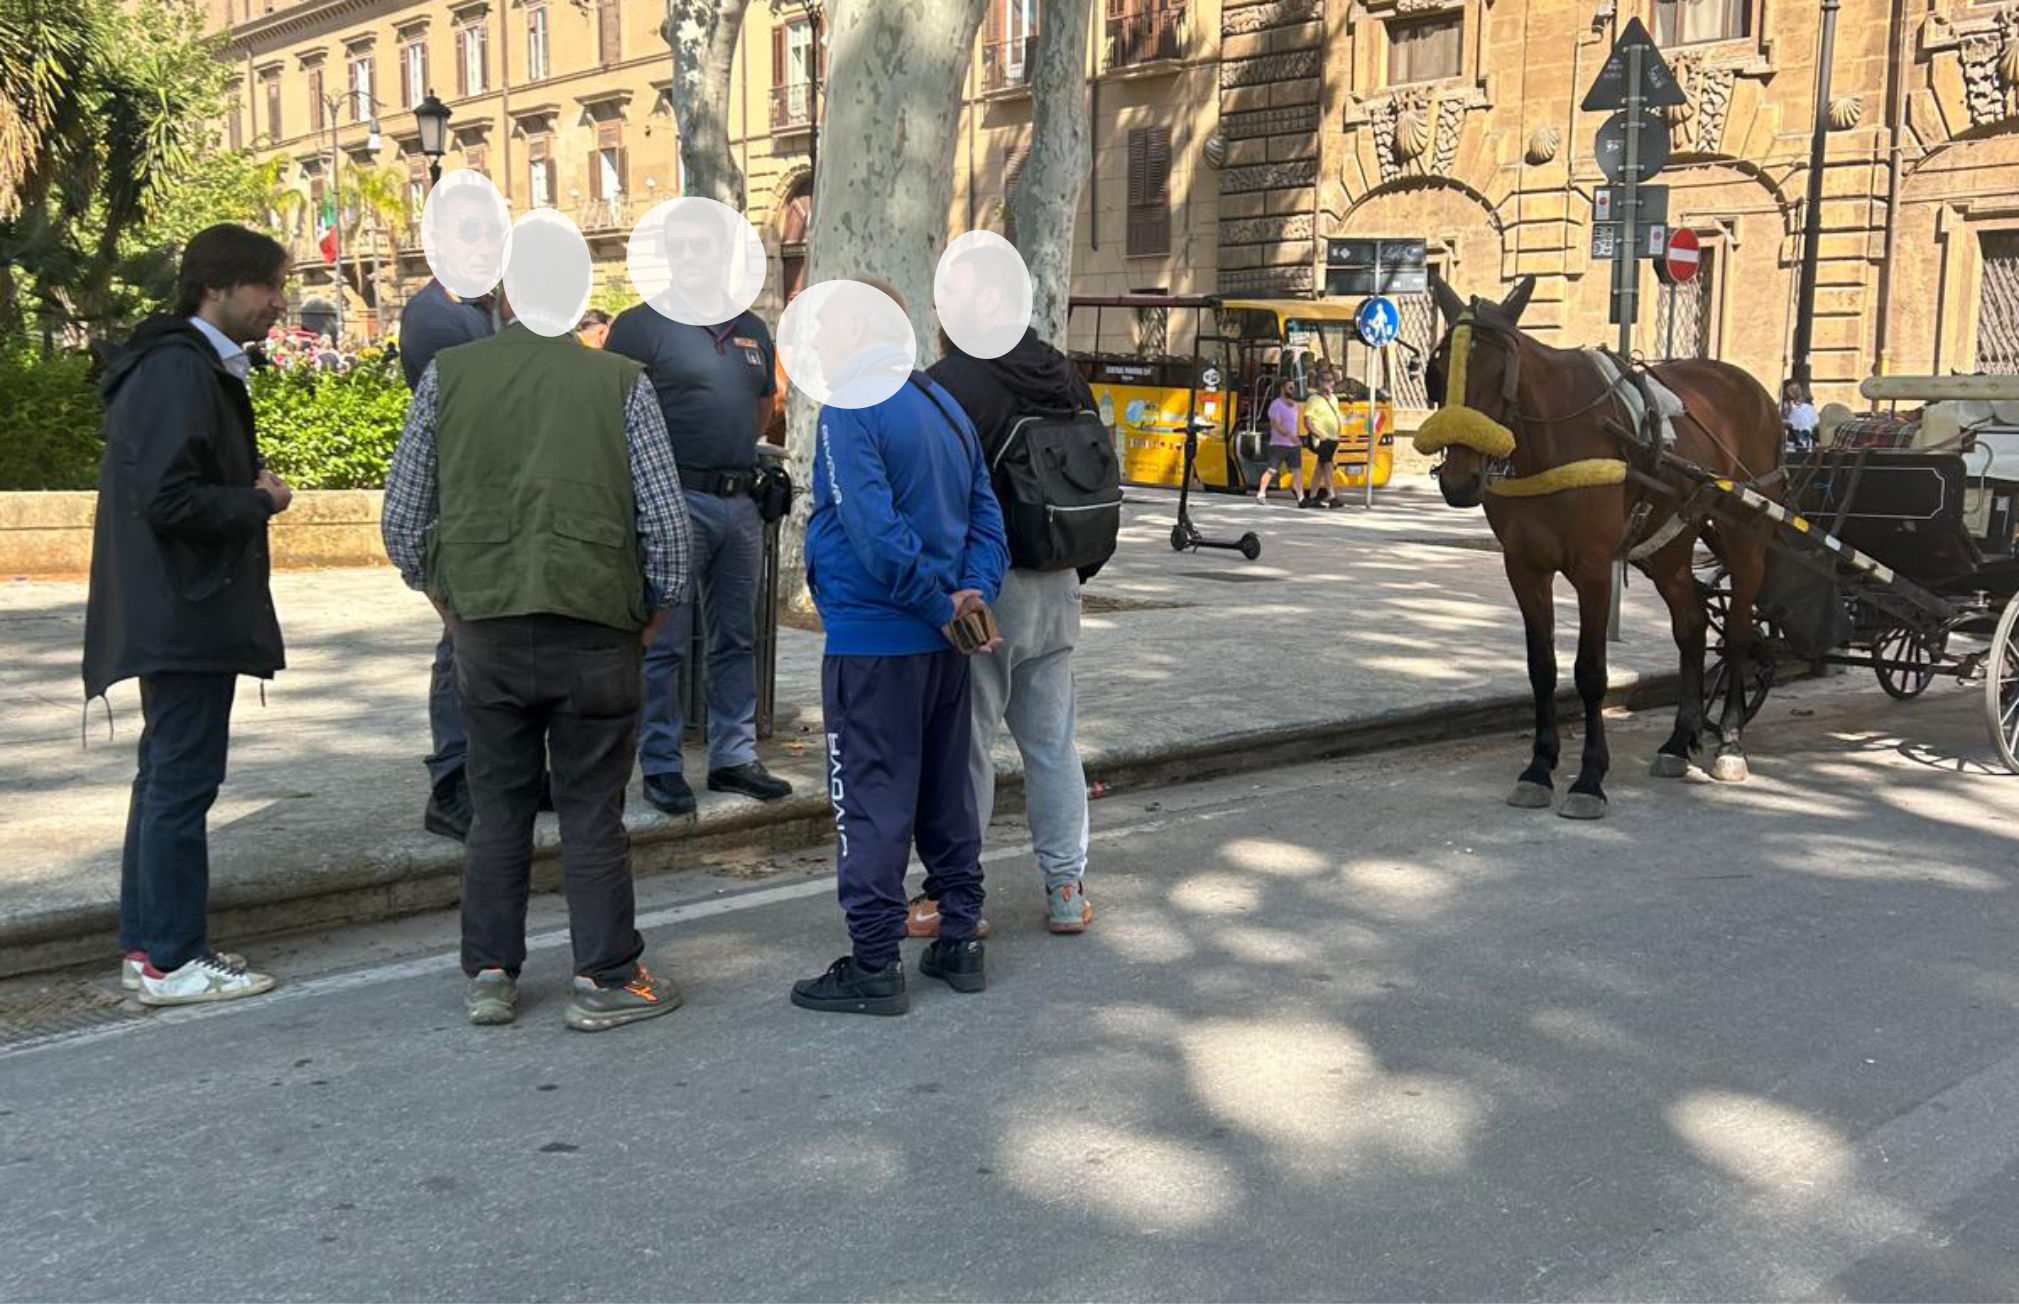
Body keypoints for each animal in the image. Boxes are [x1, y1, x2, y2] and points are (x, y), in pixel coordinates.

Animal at [1421, 278, 1784, 815]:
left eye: (1501, 372)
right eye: (1437, 371)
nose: (1459, 480)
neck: (1549, 441)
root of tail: (1754, 389)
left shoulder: (1592, 568)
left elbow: (1590, 671)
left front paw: (1589, 776)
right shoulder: (1524, 568)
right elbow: (1542, 667)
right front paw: (1539, 766)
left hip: (1743, 536)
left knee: (1739, 631)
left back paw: (1731, 741)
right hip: (1667, 546)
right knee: (1692, 626)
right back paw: (1679, 741)